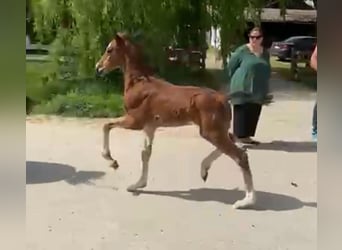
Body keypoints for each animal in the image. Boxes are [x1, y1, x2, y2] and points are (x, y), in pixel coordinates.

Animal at [95, 33, 255, 209]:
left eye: (109, 50)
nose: (98, 67)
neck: (138, 83)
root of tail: (223, 97)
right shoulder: (150, 126)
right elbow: (146, 153)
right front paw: (138, 185)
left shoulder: (135, 121)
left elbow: (106, 125)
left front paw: (111, 160)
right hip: (216, 130)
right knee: (234, 141)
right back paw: (204, 170)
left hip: (212, 132)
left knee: (240, 156)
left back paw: (246, 201)